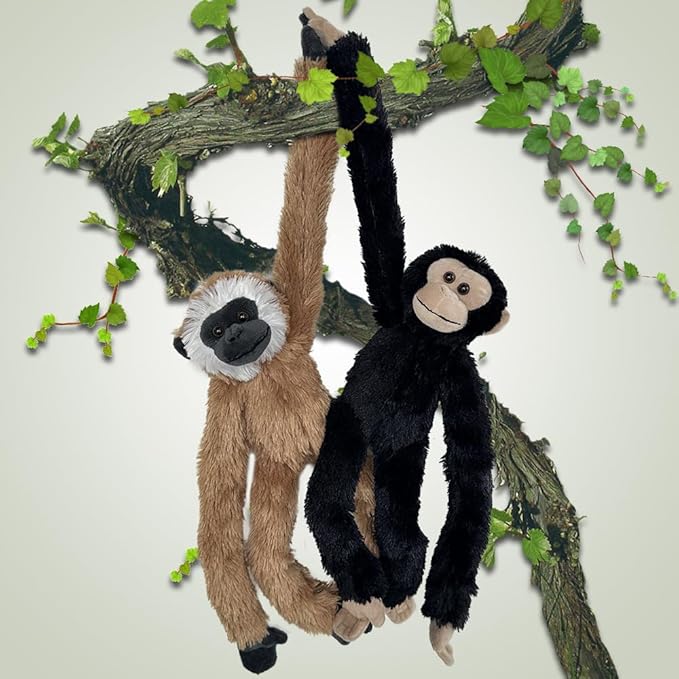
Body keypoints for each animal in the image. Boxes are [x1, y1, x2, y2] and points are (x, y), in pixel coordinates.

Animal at [172, 23, 373, 674]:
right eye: (214, 333)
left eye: (240, 314)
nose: (236, 335)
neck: (264, 372)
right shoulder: (225, 406)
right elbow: (217, 518)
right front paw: (254, 640)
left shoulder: (297, 319)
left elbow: (306, 197)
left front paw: (316, 49)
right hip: (282, 470)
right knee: (263, 549)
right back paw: (333, 613)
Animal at [302, 16, 510, 666]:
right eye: (446, 277)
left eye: (468, 290)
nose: (448, 297)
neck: (422, 343)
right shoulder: (396, 307)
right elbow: (374, 180)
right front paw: (333, 38)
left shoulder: (462, 377)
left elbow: (470, 479)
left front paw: (444, 624)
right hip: (347, 434)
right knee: (329, 503)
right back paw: (366, 595)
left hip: (402, 461)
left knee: (404, 522)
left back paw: (394, 587)